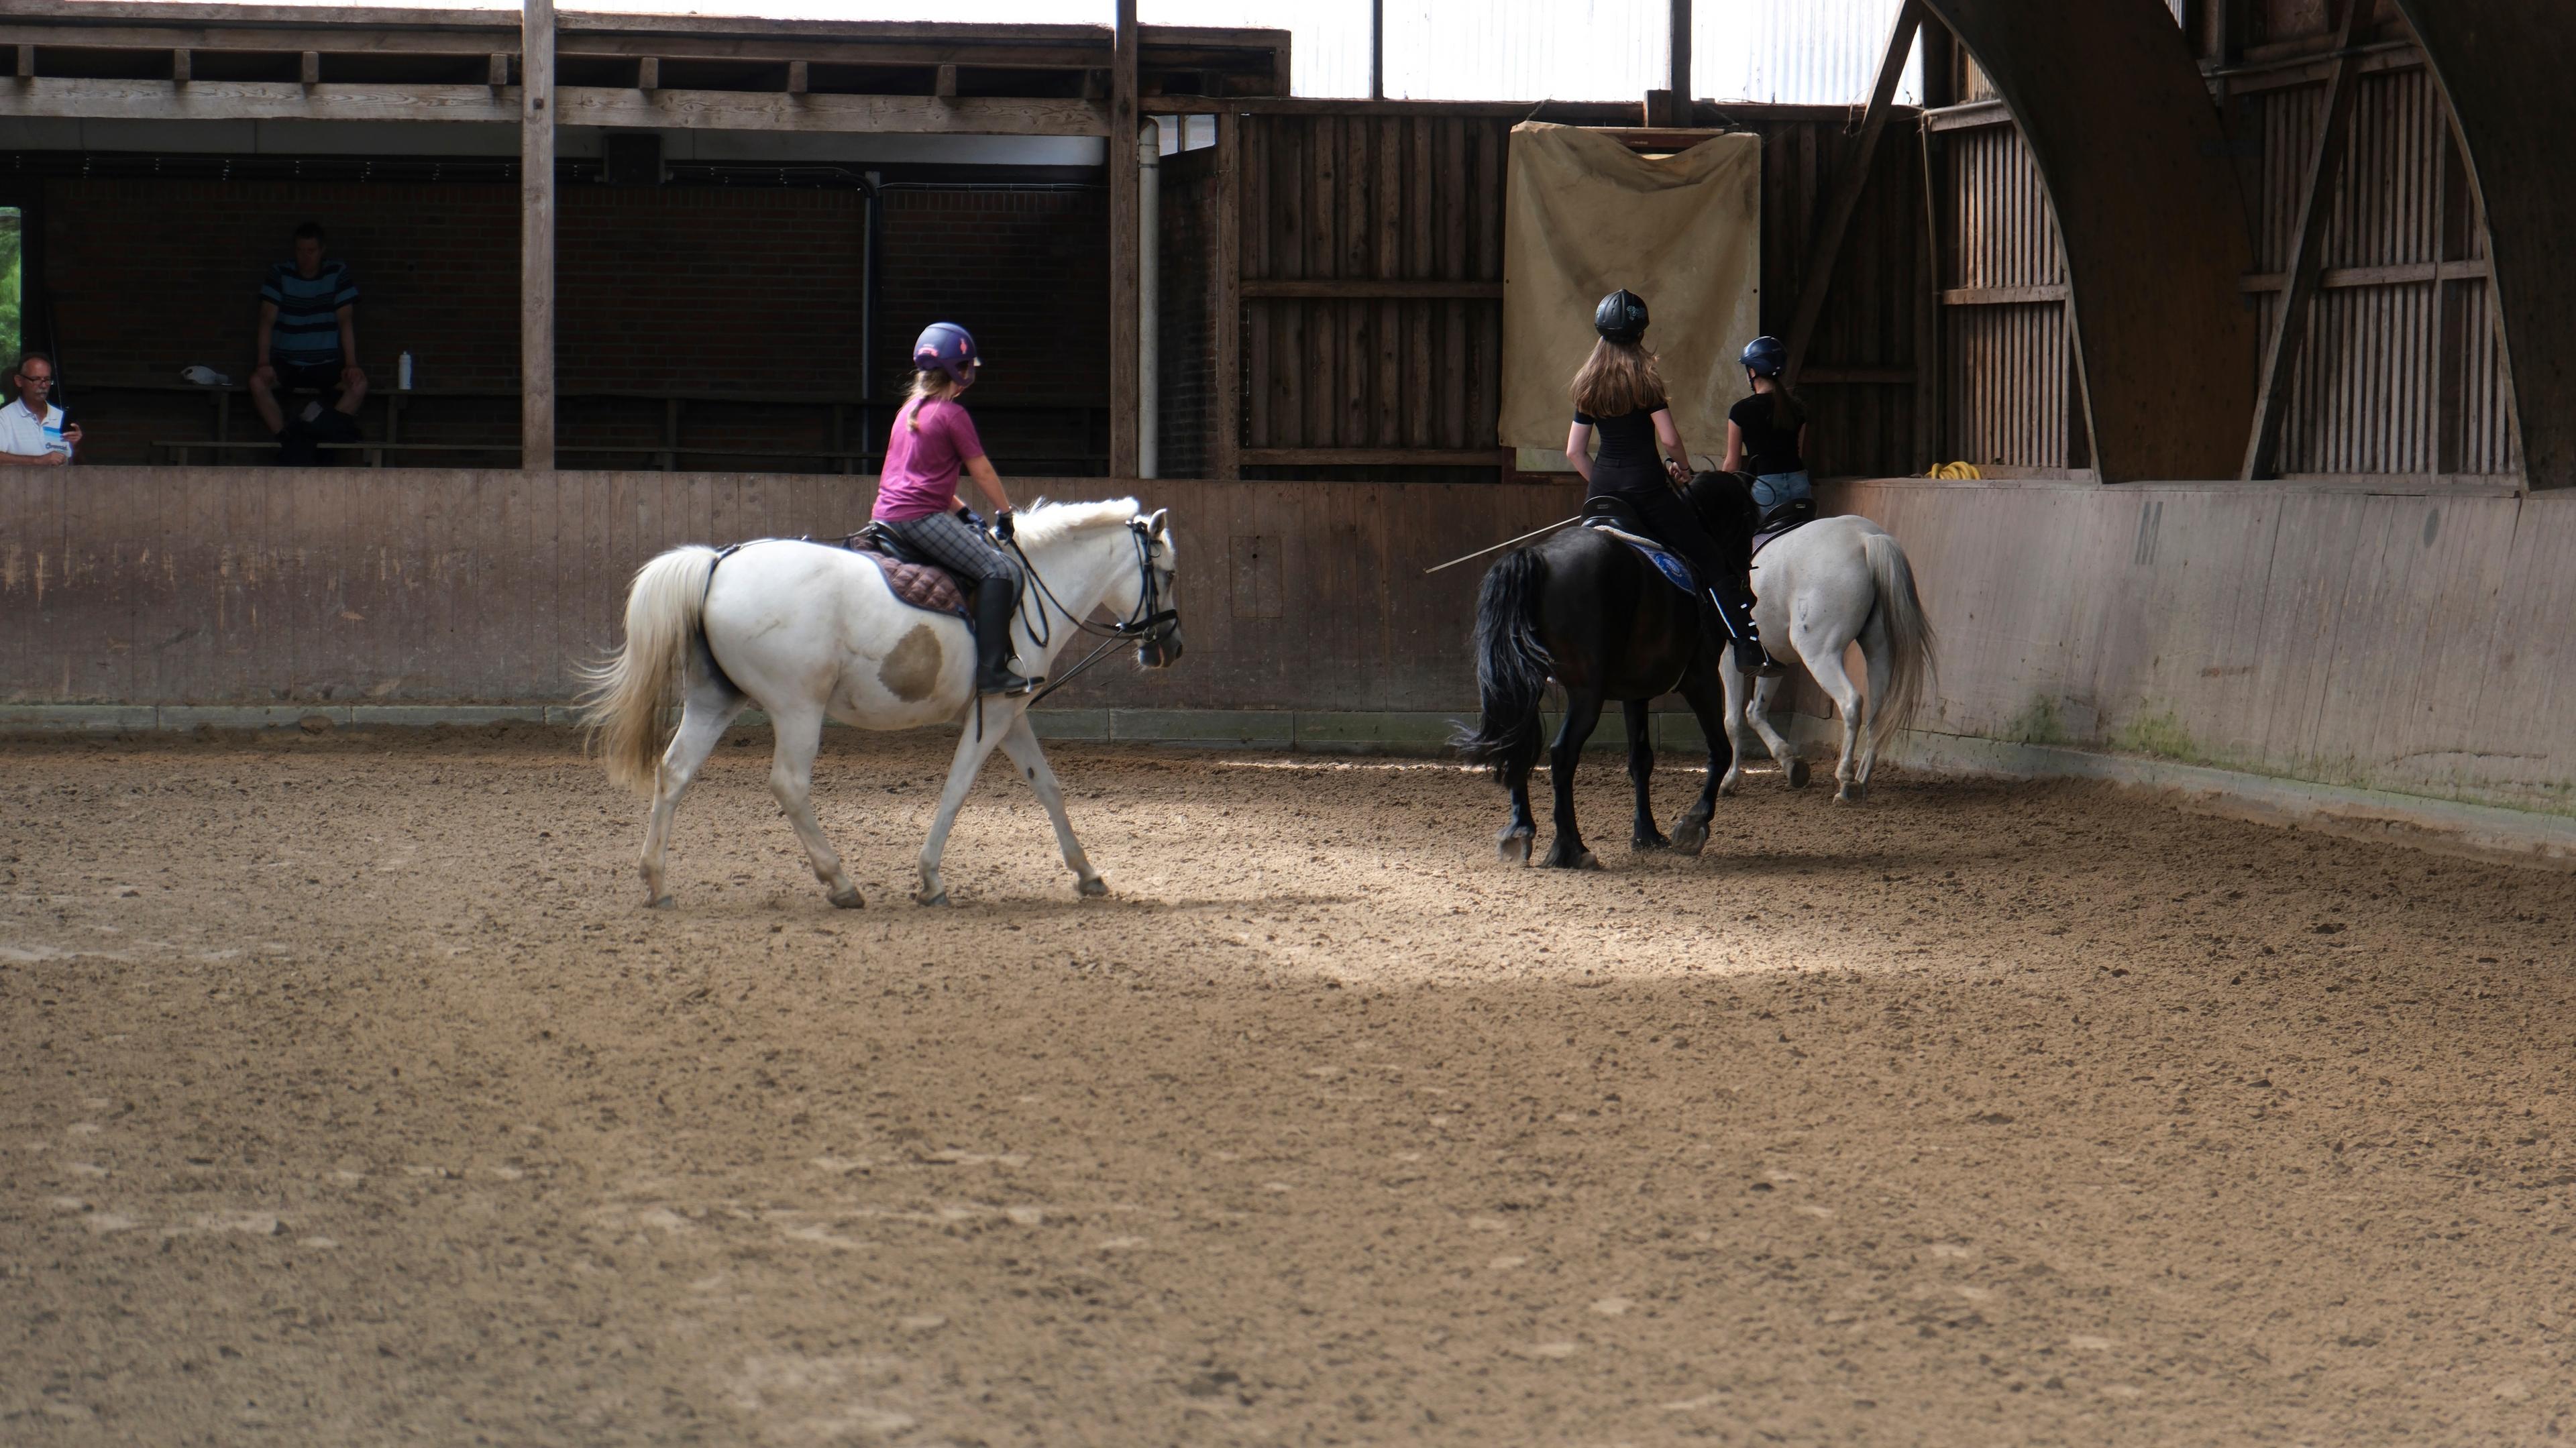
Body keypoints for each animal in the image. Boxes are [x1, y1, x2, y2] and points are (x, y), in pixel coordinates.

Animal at [580, 494, 1179, 901]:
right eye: (1168, 574)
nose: (1168, 647)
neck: (1031, 585)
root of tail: (718, 564)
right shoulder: (993, 715)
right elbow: (957, 789)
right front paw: (931, 877)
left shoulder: (1012, 717)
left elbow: (1049, 788)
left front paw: (1088, 873)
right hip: (799, 708)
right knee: (789, 785)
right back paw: (840, 881)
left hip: (715, 701)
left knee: (675, 771)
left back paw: (656, 881)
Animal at [1452, 474, 1752, 860]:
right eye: (1749, 516)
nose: (1748, 591)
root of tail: (1536, 556)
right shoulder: (1700, 679)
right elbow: (1719, 748)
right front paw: (1694, 822)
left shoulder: (1636, 692)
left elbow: (1641, 759)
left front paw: (1647, 834)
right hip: (1587, 692)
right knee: (1562, 754)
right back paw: (1570, 848)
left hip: (1527, 683)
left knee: (1517, 739)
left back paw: (1520, 831)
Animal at [1721, 512, 1927, 798]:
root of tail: (1865, 538)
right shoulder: (1774, 658)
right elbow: (1756, 712)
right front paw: (1792, 765)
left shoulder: (1730, 656)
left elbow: (1733, 722)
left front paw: (1729, 781)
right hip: (1879, 653)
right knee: (1878, 714)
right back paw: (1861, 781)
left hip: (1819, 653)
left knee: (1851, 702)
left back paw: (1846, 781)